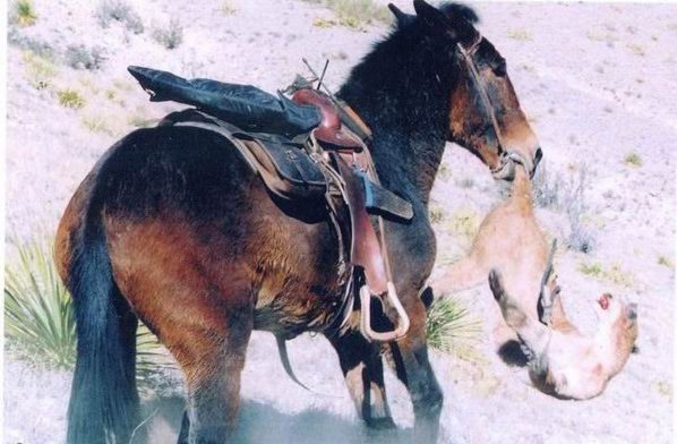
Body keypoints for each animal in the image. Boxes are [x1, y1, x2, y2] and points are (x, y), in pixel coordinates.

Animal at [54, 1, 540, 442]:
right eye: (497, 68)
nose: (531, 151)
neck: (385, 156)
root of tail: (111, 183)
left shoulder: (353, 334)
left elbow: (377, 417)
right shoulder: (404, 305)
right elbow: (427, 398)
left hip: (119, 328)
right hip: (216, 356)